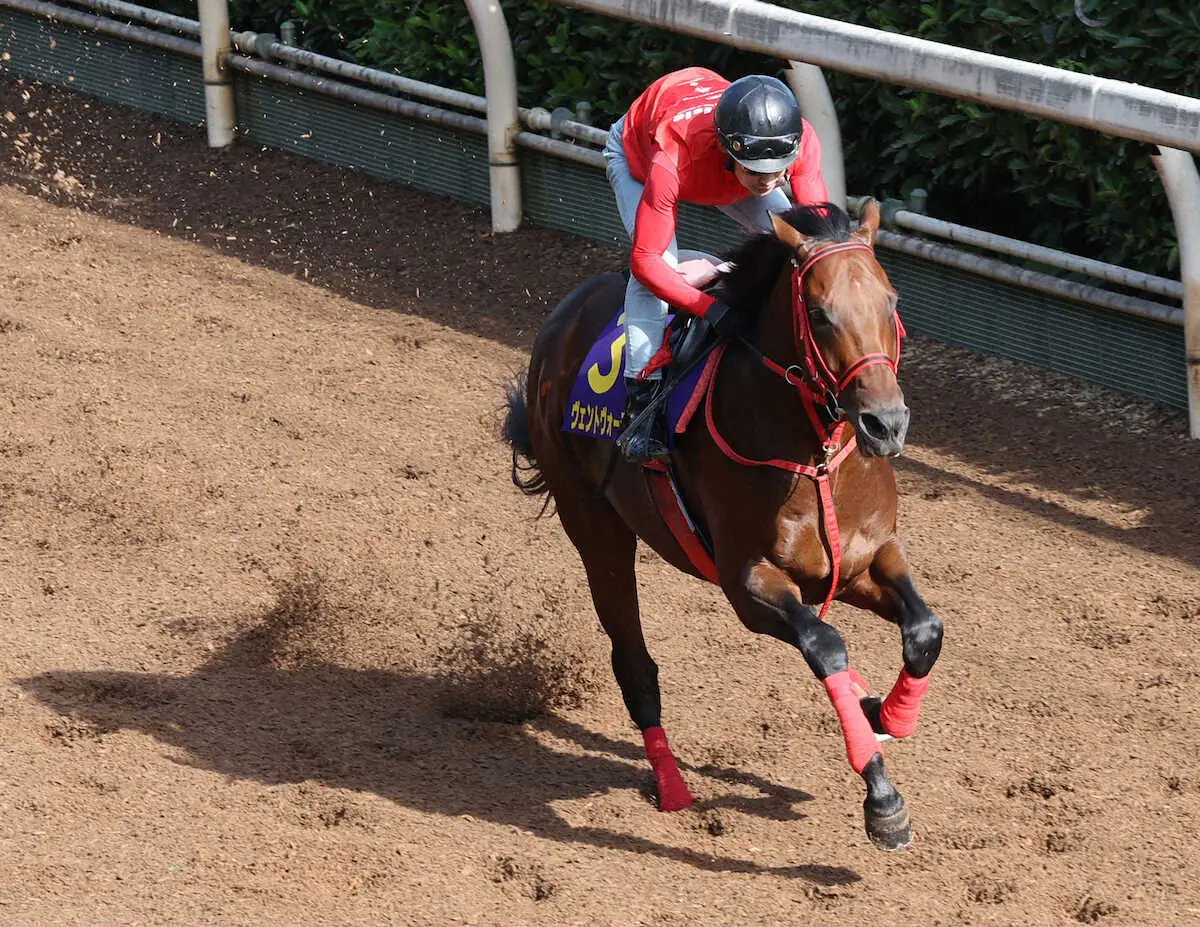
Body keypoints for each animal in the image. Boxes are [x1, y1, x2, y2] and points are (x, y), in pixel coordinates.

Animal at [501, 199, 940, 850]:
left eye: (891, 302)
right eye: (819, 314)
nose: (885, 424)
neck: (813, 457)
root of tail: (565, 315)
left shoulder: (865, 560)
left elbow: (925, 630)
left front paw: (885, 713)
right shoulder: (748, 583)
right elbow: (826, 644)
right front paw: (883, 801)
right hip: (595, 525)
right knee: (634, 663)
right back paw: (672, 787)